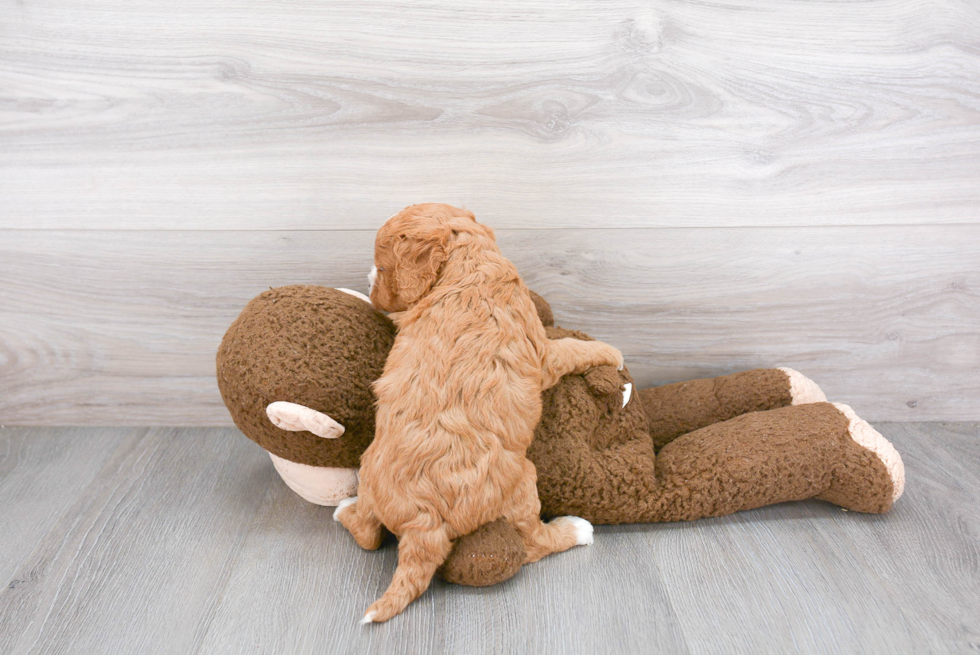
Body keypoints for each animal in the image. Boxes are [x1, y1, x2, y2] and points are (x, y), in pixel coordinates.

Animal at [336, 202, 624, 624]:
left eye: (384, 267)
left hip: (370, 475)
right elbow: (571, 348)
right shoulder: (543, 354)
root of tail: (423, 523)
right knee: (532, 541)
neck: (465, 265)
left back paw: (344, 509)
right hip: (522, 480)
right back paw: (576, 530)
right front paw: (611, 352)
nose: (372, 288)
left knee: (369, 535)